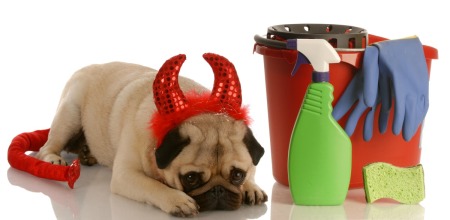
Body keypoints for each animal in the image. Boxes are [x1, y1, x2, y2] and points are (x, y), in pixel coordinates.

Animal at [37, 52, 268, 217]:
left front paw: (251, 187)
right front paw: (177, 199)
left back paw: (86, 153)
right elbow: (153, 185)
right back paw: (54, 159)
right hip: (70, 113)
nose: (218, 190)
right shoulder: (125, 175)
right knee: (47, 147)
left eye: (238, 175)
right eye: (191, 178)